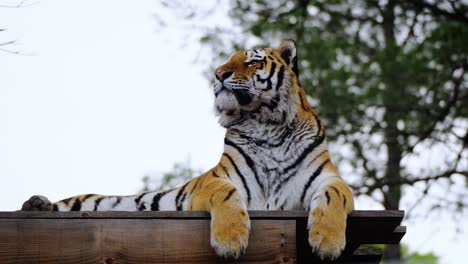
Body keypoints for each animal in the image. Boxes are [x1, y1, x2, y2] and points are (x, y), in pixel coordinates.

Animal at [20, 39, 352, 260]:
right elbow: (227, 194)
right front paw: (230, 241)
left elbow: (333, 196)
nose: (218, 74)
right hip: (91, 202)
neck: (266, 124)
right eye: (227, 61)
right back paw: (36, 204)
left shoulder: (328, 180)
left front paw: (328, 243)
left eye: (251, 61)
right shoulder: (217, 181)